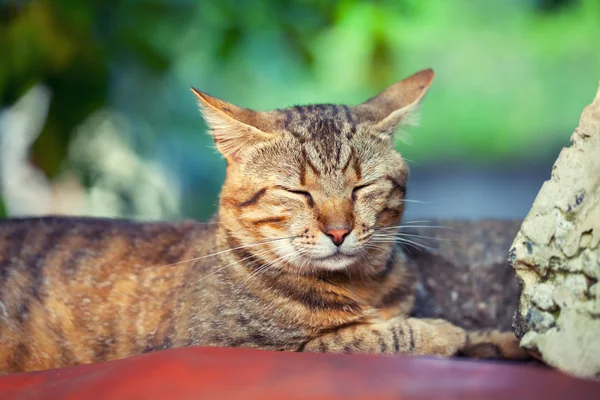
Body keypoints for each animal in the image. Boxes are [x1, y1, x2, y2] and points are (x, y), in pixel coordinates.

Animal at [0, 69, 524, 376]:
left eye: (362, 187)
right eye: (298, 192)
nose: (339, 231)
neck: (363, 286)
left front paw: (498, 340)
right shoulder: (233, 347)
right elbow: (371, 336)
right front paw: (441, 332)